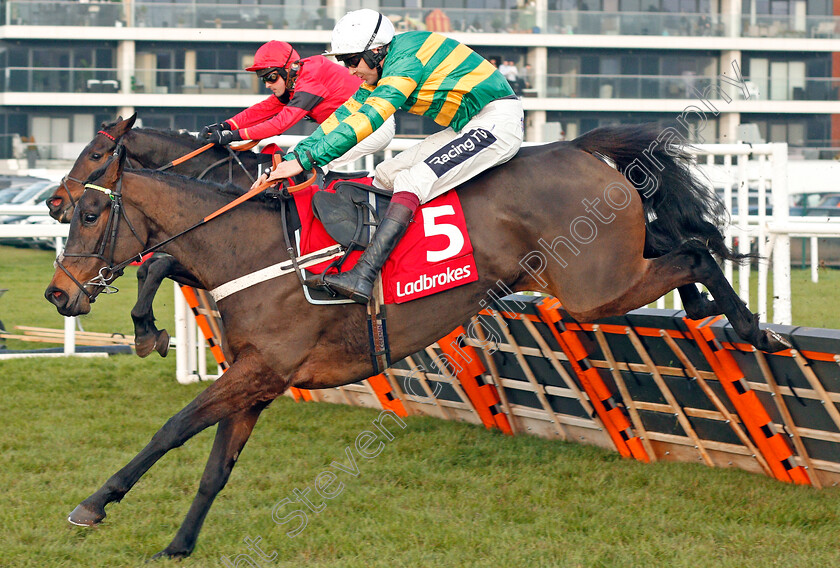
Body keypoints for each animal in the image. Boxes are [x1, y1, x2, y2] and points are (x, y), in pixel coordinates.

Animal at [46, 113, 262, 358]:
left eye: (96, 155)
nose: (54, 202)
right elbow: (148, 268)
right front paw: (146, 329)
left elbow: (158, 266)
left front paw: (145, 328)